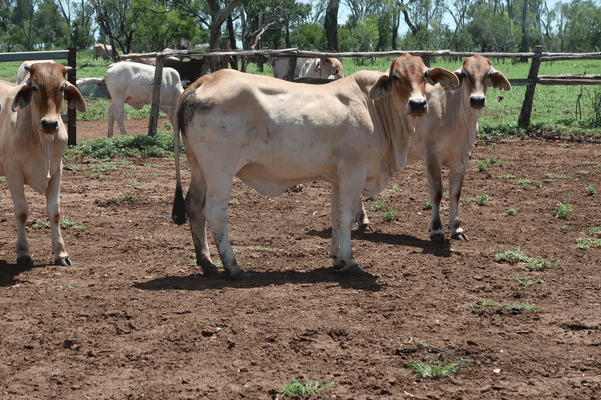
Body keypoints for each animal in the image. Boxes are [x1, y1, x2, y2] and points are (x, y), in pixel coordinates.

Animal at [0, 62, 86, 268]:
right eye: (34, 87)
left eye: (62, 87)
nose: (49, 123)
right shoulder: (13, 172)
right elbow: (22, 211)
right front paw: (23, 253)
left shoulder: (56, 170)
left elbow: (54, 211)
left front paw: (61, 254)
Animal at [171, 53, 458, 280]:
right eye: (396, 77)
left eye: (424, 74)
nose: (418, 104)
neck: (374, 107)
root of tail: (201, 82)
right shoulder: (354, 172)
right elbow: (346, 215)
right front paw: (350, 262)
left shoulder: (338, 178)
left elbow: (336, 215)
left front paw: (337, 259)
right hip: (220, 171)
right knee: (214, 211)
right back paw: (233, 267)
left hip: (199, 168)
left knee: (193, 205)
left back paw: (207, 264)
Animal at [354, 53, 512, 241]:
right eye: (465, 74)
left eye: (488, 74)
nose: (477, 99)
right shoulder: (431, 156)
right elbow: (437, 193)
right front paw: (437, 230)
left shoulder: (462, 159)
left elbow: (455, 194)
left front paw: (457, 229)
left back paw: (361, 220)